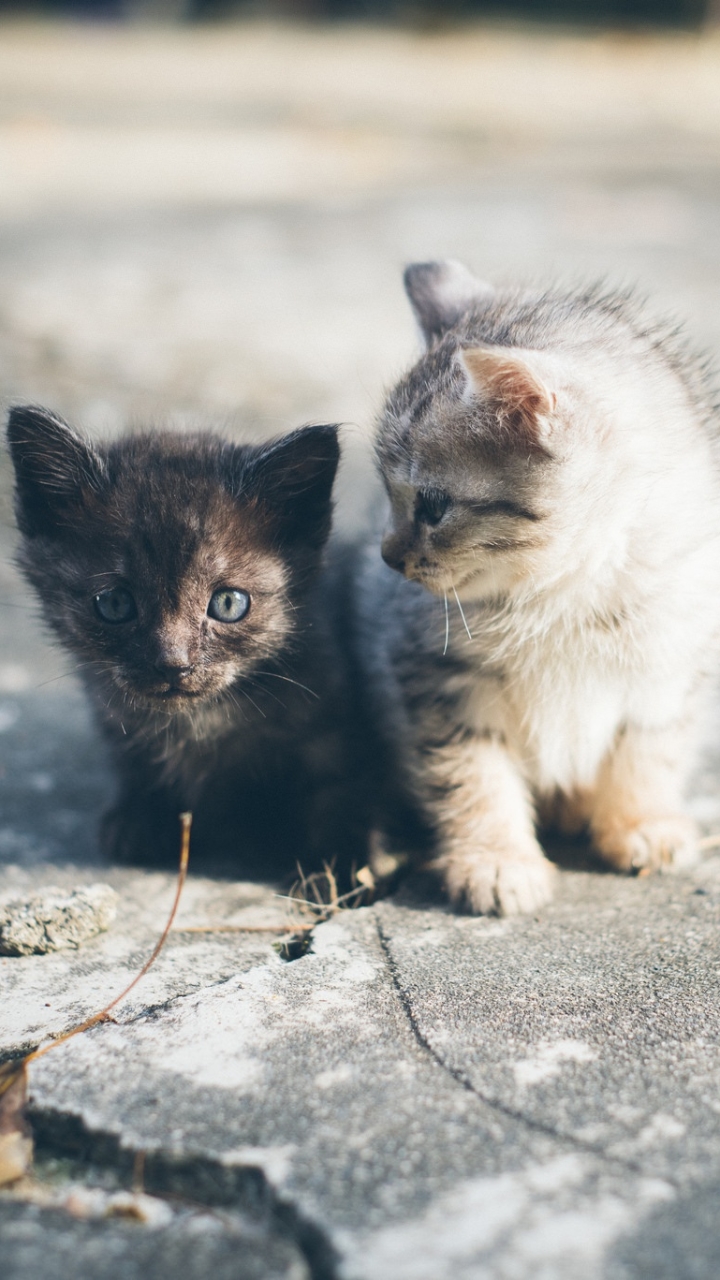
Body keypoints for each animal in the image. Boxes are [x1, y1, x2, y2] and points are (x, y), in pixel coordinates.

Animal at [9, 409, 368, 880]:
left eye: (229, 603)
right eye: (115, 603)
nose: (173, 664)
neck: (200, 722)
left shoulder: (333, 720)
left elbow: (340, 788)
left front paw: (339, 865)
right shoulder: (112, 713)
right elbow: (133, 761)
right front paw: (140, 816)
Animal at [353, 259, 720, 916]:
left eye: (434, 506)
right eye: (388, 495)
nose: (387, 557)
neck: (564, 595)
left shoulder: (671, 666)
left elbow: (649, 750)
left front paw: (641, 821)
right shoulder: (440, 677)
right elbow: (472, 773)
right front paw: (495, 858)